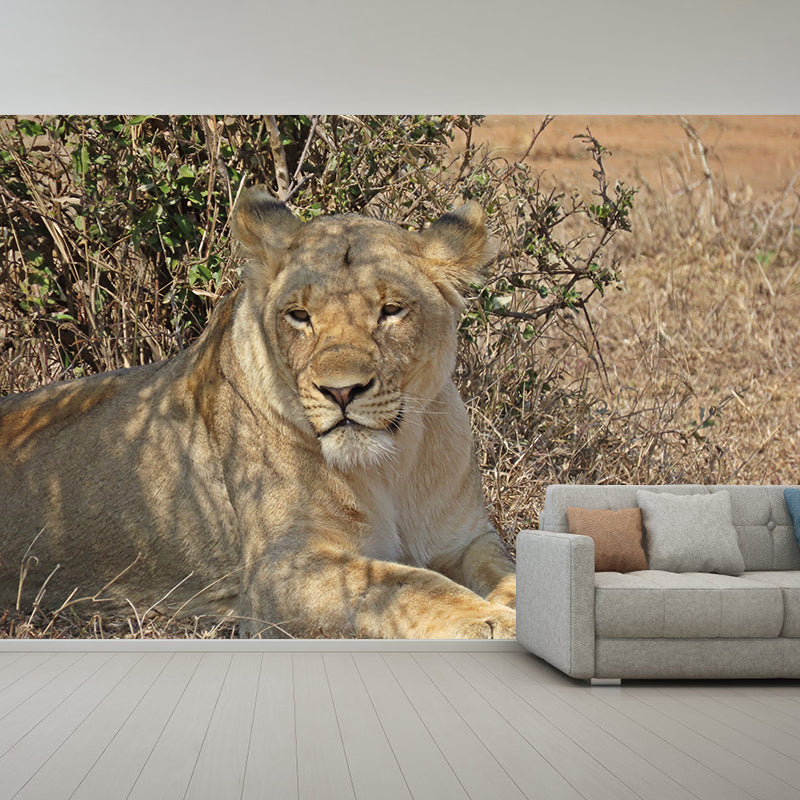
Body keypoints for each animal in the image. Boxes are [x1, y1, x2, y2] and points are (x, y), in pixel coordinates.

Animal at [0, 188, 517, 638]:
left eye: (391, 310)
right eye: (299, 316)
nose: (341, 391)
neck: (392, 464)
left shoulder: (467, 539)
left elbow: (508, 570)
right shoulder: (280, 571)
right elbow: (405, 584)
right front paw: (492, 621)